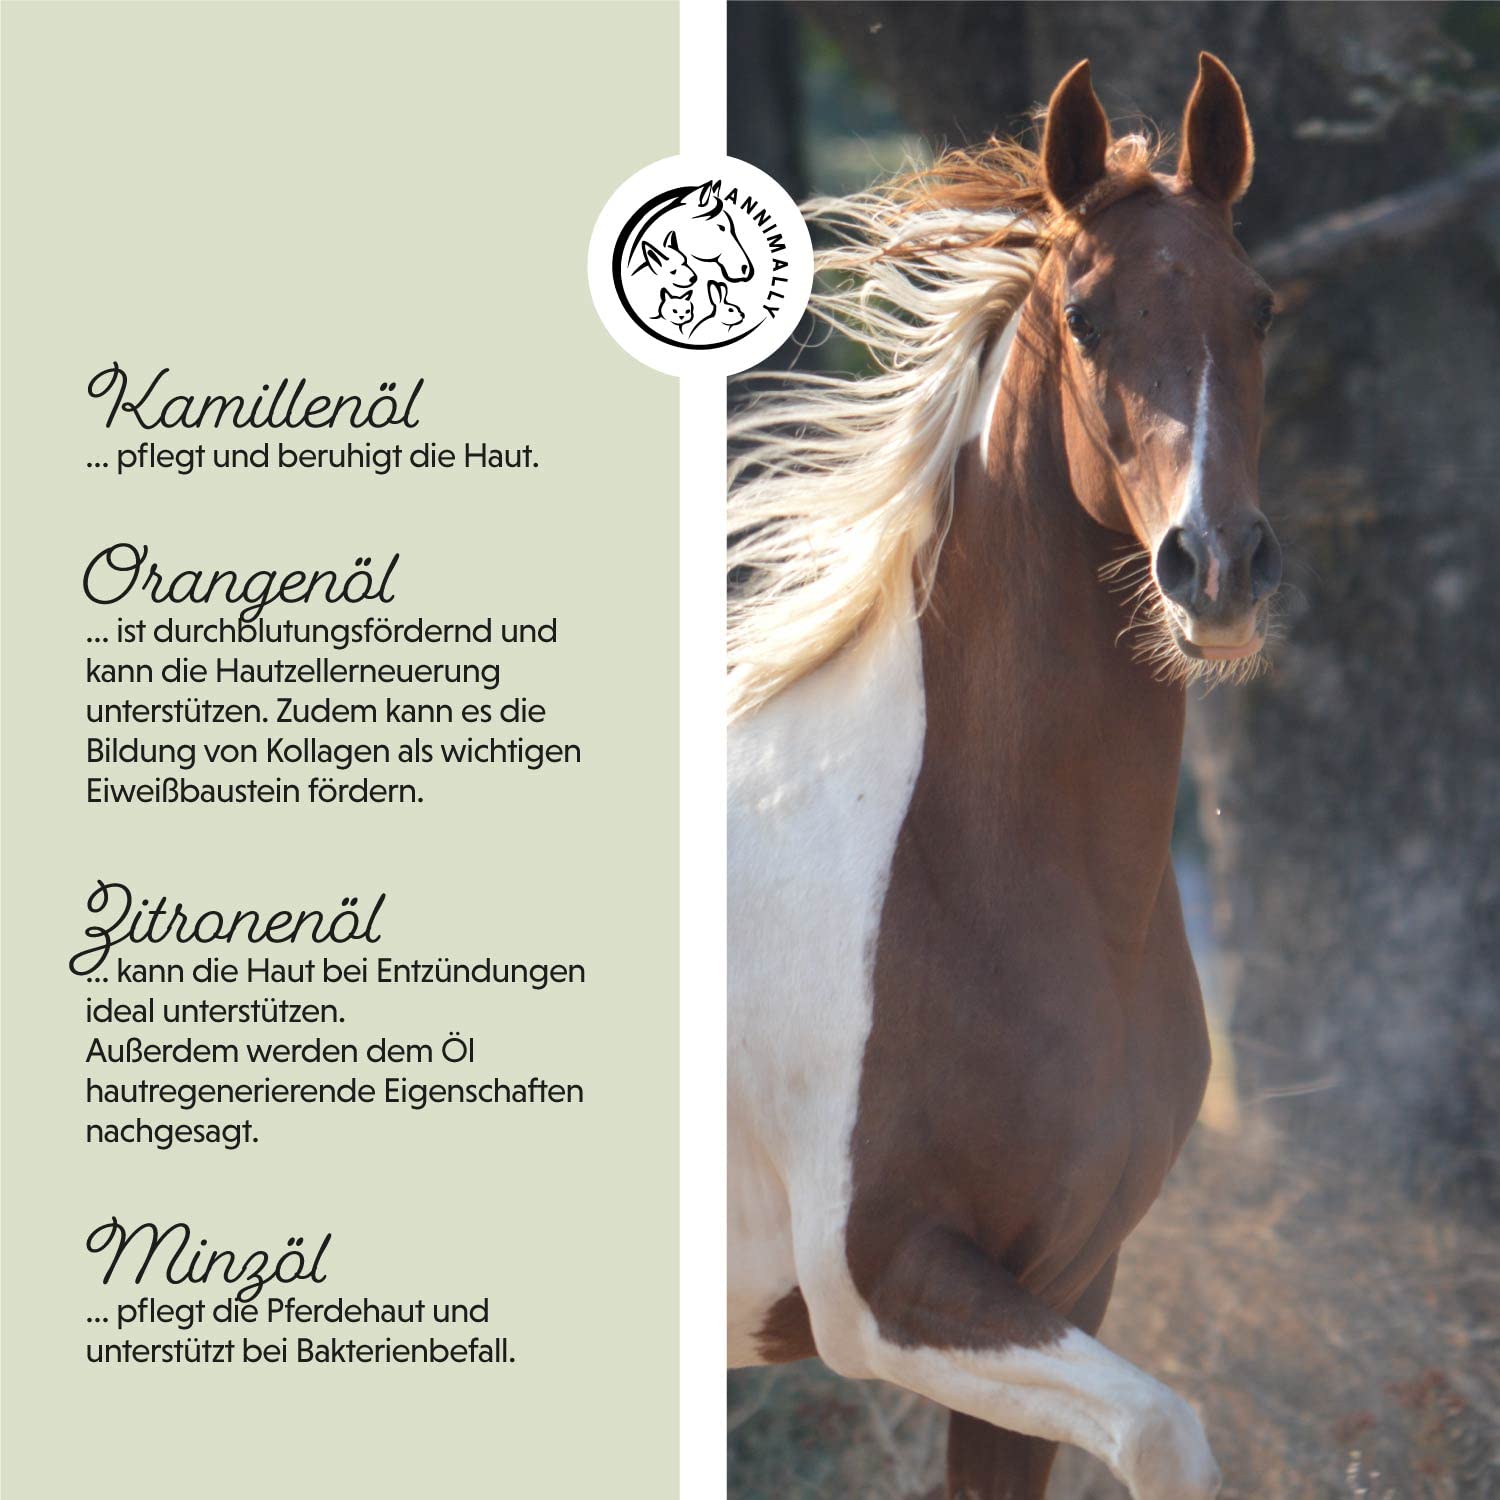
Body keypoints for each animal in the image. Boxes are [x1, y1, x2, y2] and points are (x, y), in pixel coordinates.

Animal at [727, 54, 1280, 1500]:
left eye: (1260, 308)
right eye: (1084, 317)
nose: (1219, 569)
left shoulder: (1069, 1278)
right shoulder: (889, 1290)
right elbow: (1167, 1431)